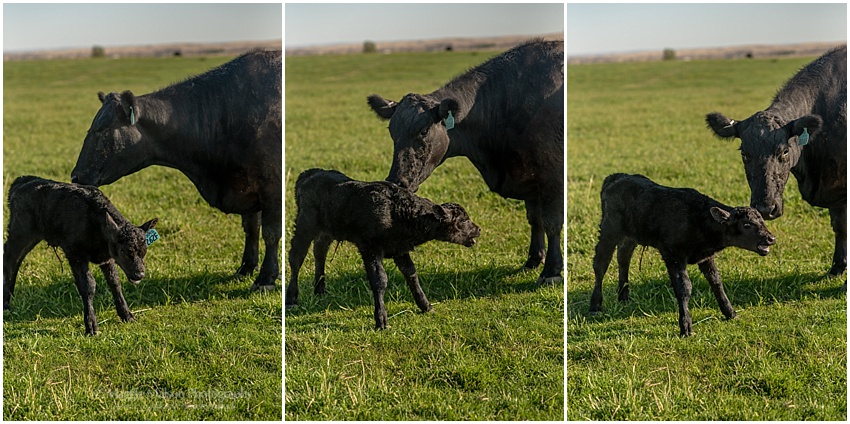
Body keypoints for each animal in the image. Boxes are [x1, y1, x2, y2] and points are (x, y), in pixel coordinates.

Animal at [4, 176, 159, 335]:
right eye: (123, 251)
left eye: (144, 250)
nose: (139, 274)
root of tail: (22, 181)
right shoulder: (75, 253)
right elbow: (88, 285)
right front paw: (91, 326)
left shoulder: (107, 258)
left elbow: (114, 282)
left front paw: (127, 315)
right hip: (20, 231)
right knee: (9, 258)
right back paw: (6, 303)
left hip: (32, 236)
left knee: (18, 259)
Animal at [70, 50, 282, 291]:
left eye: (103, 130)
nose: (76, 176)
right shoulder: (245, 187)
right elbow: (251, 228)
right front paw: (246, 267)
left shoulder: (271, 183)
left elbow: (270, 232)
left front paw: (266, 278)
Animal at [367, 39, 564, 285]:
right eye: (392, 132)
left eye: (423, 131)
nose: (397, 181)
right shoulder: (529, 177)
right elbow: (535, 219)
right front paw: (533, 260)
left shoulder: (552, 176)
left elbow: (552, 222)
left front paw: (551, 272)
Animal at [590, 173, 776, 336]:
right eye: (746, 225)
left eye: (762, 221)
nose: (771, 238)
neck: (698, 219)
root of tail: (615, 177)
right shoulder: (673, 254)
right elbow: (684, 287)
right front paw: (686, 326)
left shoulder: (706, 256)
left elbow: (716, 282)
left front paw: (730, 312)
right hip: (609, 229)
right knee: (601, 263)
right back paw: (595, 304)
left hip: (631, 234)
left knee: (623, 257)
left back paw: (624, 296)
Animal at [706, 45, 846, 278]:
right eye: (745, 154)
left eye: (784, 152)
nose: (765, 207)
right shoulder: (835, 193)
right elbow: (840, 227)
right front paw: (837, 268)